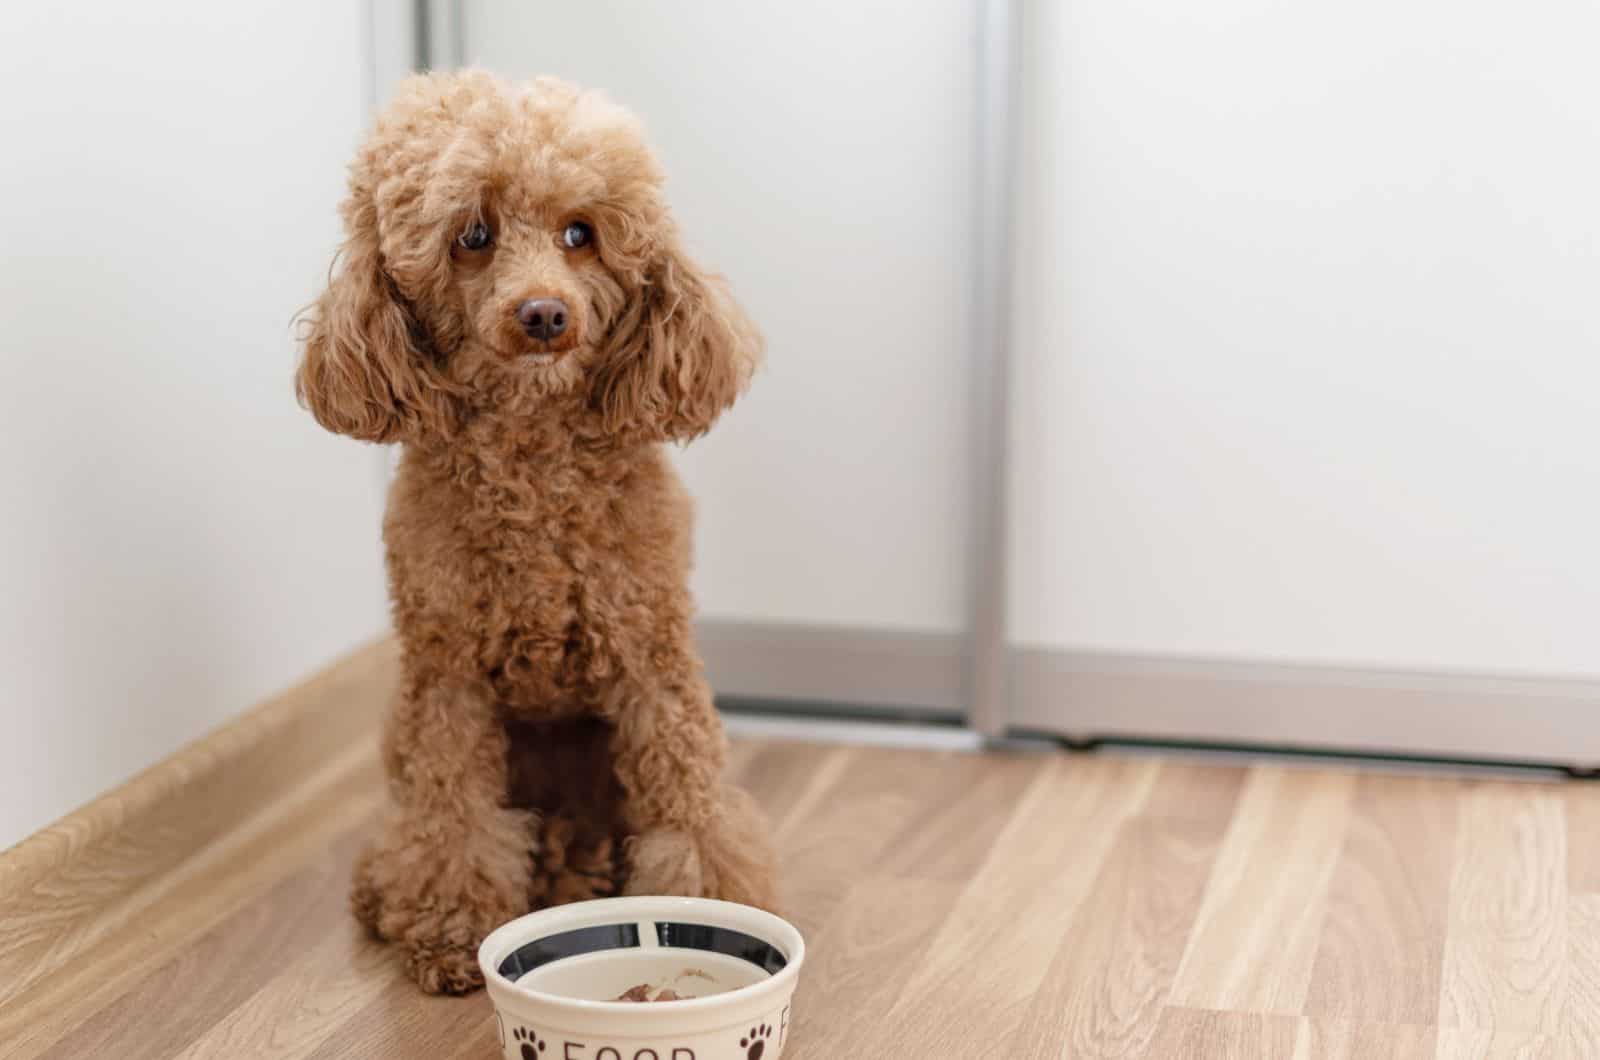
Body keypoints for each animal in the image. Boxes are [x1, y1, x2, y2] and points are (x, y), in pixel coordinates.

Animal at [299, 72, 780, 999]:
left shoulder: (652, 659)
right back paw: (407, 887)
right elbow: (453, 816)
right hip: (405, 726)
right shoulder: (447, 680)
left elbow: (691, 800)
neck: (533, 469)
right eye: (472, 236)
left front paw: (712, 903)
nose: (545, 314)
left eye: (580, 233)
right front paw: (452, 927)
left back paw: (584, 869)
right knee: (425, 821)